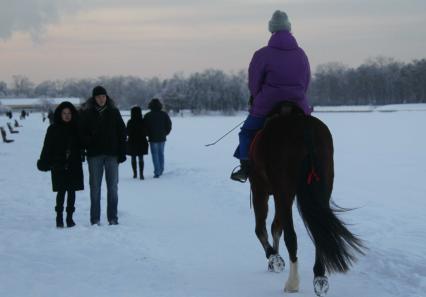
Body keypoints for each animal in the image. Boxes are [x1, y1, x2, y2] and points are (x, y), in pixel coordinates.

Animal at [248, 103, 364, 294]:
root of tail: (305, 129)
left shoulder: (260, 187)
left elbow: (262, 229)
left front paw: (274, 259)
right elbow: (275, 227)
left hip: (283, 190)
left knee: (290, 236)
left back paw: (292, 282)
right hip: (322, 188)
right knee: (320, 232)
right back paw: (320, 277)